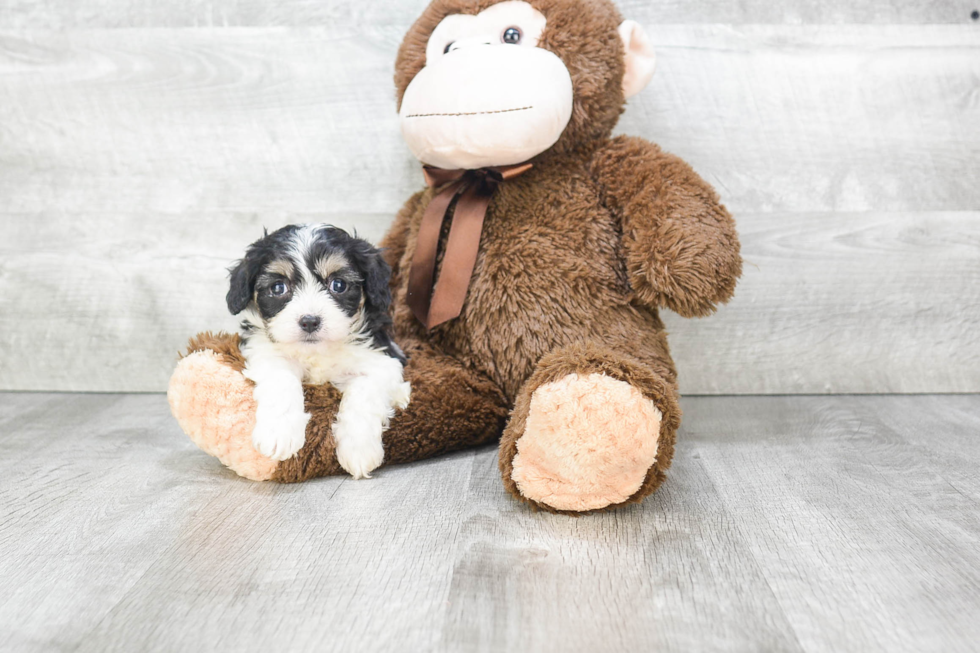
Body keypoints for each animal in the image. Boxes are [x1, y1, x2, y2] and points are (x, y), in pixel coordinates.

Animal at [226, 225, 410, 478]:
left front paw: (358, 449)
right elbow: (282, 379)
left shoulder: (380, 360)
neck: (317, 351)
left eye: (338, 285)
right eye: (278, 287)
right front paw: (279, 434)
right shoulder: (265, 351)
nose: (310, 321)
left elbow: (364, 391)